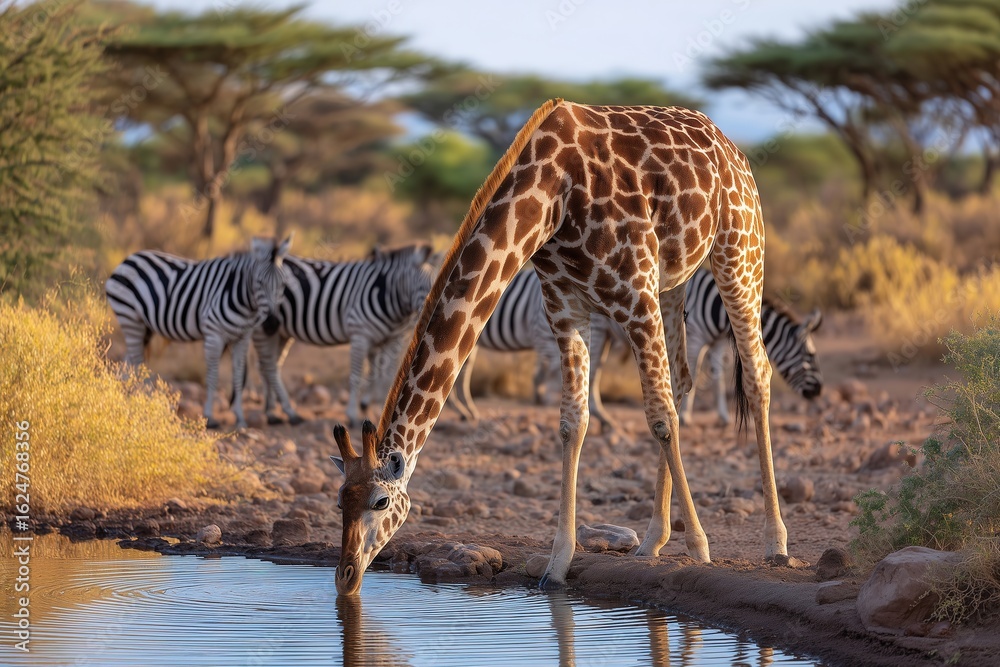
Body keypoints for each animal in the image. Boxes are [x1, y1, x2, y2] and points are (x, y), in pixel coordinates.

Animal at [105, 235, 292, 429]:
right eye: (259, 282)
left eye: (284, 284)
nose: (272, 323)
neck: (242, 299)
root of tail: (128, 259)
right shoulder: (214, 334)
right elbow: (213, 376)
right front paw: (210, 417)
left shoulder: (242, 337)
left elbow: (238, 375)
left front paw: (240, 417)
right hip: (129, 317)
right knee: (137, 362)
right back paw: (148, 401)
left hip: (143, 326)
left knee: (129, 362)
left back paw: (126, 398)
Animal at [246, 243, 435, 426]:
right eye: (423, 288)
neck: (387, 296)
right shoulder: (360, 336)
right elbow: (357, 377)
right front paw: (352, 415)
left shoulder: (391, 339)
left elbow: (384, 377)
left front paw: (381, 413)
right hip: (263, 328)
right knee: (269, 367)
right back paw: (287, 412)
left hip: (280, 332)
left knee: (268, 366)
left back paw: (271, 412)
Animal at [331, 98, 785, 596]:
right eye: (340, 501)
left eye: (379, 501)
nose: (345, 575)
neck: (552, 198)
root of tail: (730, 146)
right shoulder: (564, 304)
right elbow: (573, 423)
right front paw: (557, 564)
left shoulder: (634, 295)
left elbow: (659, 418)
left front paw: (701, 548)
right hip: (675, 280)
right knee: (683, 376)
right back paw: (651, 541)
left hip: (739, 253)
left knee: (755, 372)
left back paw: (775, 543)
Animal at [680, 268, 823, 425]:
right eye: (810, 355)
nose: (819, 390)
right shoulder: (695, 338)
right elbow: (693, 373)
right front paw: (685, 415)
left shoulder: (717, 343)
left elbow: (718, 377)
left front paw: (723, 416)